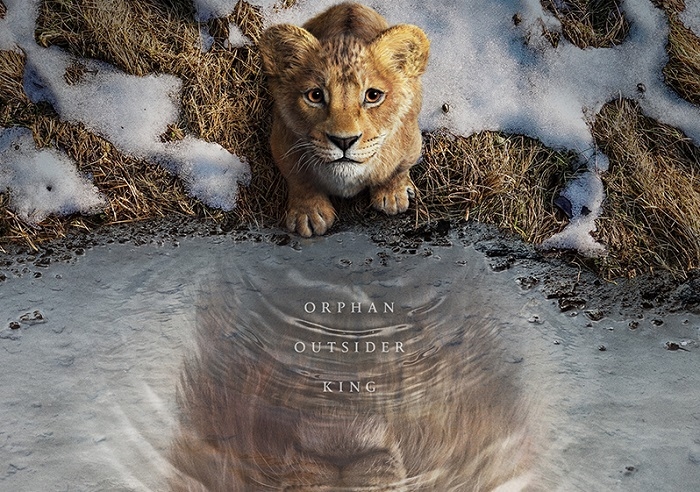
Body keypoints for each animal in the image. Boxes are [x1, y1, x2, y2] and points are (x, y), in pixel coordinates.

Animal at [259, 3, 430, 237]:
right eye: (315, 96)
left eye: (373, 95)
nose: (344, 141)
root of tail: (350, 4)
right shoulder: (281, 141)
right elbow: (299, 178)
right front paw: (308, 213)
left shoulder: (411, 141)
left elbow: (398, 169)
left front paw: (393, 194)